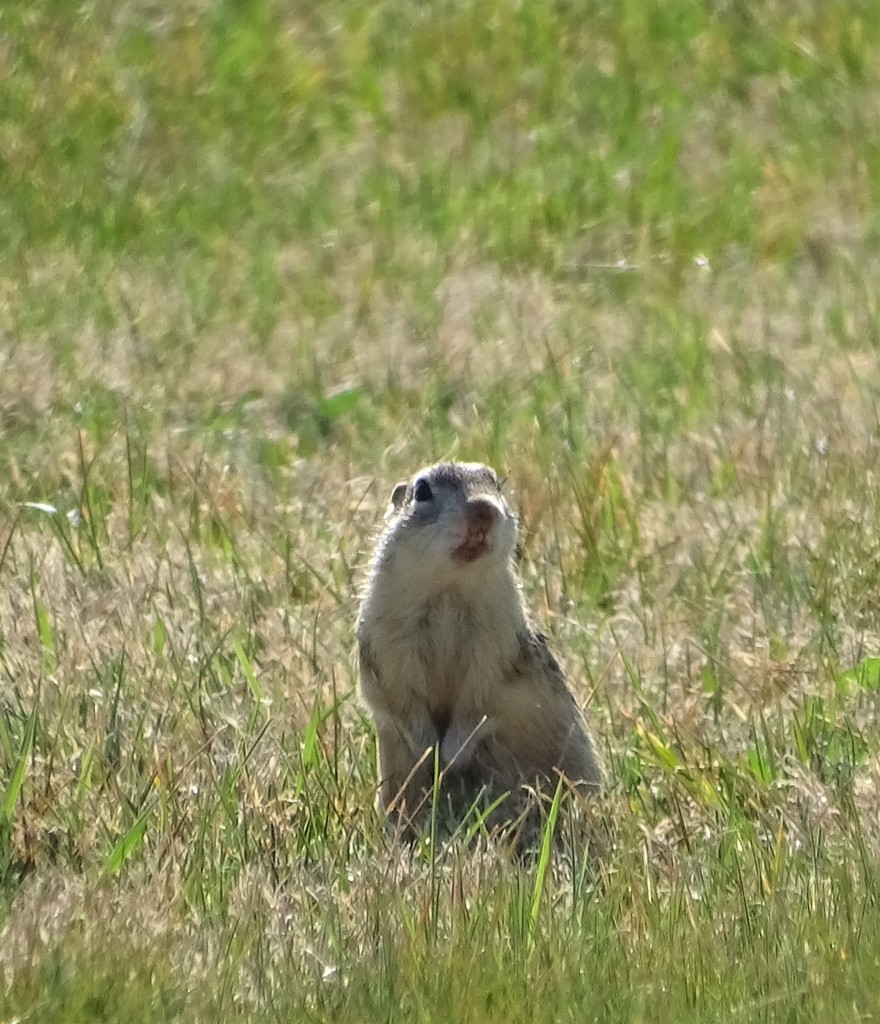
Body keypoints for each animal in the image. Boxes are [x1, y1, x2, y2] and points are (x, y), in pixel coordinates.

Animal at [357, 461, 602, 834]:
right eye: (422, 491)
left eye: (496, 484)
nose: (483, 509)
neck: (450, 589)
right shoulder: (388, 641)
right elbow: (400, 697)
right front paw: (429, 750)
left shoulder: (496, 643)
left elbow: (481, 699)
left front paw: (451, 753)